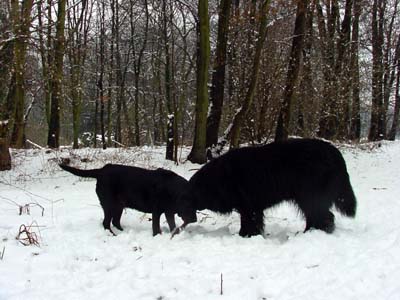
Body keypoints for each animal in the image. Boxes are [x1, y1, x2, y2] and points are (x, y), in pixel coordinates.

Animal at [59, 164, 189, 237]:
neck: (171, 189)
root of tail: (101, 170)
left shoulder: (169, 212)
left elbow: (173, 226)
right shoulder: (157, 211)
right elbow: (156, 228)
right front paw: (158, 236)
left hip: (118, 206)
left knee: (115, 222)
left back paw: (123, 231)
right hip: (109, 205)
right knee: (106, 223)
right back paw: (113, 235)